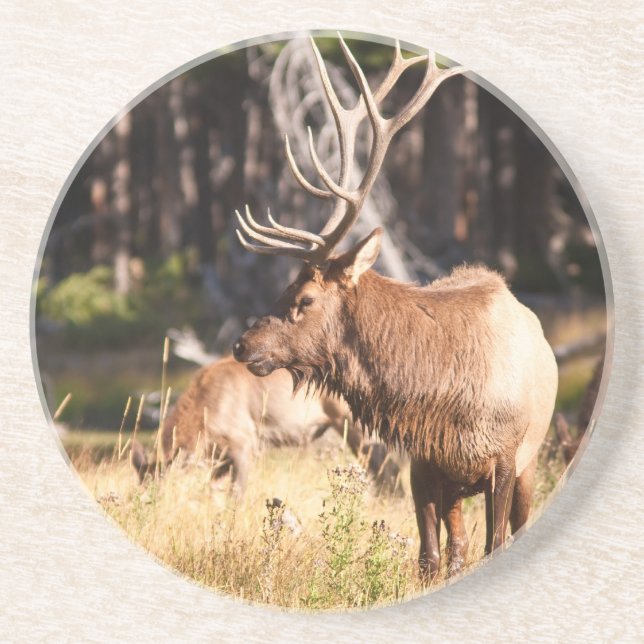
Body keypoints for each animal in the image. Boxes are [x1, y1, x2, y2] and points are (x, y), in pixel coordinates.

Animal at [131, 355, 399, 496]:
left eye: (161, 487)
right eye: (139, 484)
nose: (144, 504)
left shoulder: (243, 444)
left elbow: (236, 494)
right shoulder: (220, 457)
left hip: (354, 423)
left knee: (383, 465)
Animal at [231, 35, 558, 580]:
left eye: (304, 299)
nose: (242, 344)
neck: (445, 398)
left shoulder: (506, 459)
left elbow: (495, 544)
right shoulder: (423, 464)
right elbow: (428, 558)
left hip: (529, 461)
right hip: (454, 487)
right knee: (456, 548)